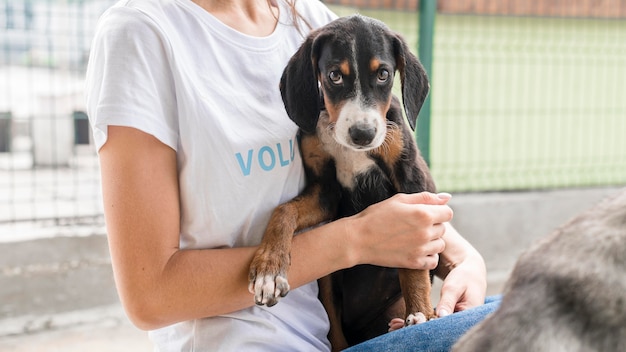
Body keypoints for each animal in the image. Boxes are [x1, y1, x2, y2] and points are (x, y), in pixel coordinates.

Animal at [247, 15, 434, 348]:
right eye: (334, 75)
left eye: (384, 74)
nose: (363, 134)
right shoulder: (326, 193)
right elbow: (283, 210)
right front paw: (269, 267)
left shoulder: (410, 178)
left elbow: (414, 264)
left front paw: (420, 314)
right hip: (328, 277)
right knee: (334, 326)